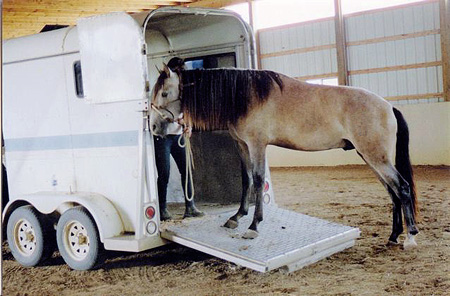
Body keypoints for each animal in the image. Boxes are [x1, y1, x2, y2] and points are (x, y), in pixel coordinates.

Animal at [149, 63, 420, 250]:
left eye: (164, 93)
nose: (153, 127)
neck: (243, 96)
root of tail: (388, 106)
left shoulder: (257, 145)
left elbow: (258, 180)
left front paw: (254, 226)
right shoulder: (242, 146)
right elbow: (246, 179)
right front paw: (236, 217)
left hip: (376, 158)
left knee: (402, 188)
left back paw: (410, 237)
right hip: (371, 158)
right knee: (393, 192)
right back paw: (393, 236)